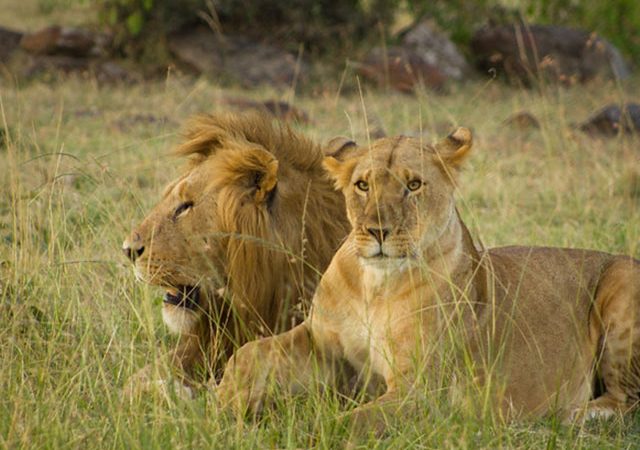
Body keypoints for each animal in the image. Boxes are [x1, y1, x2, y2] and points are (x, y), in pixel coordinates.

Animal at [215, 127, 640, 434]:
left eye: (414, 185)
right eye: (362, 185)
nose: (378, 231)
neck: (376, 287)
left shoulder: (422, 390)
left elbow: (353, 421)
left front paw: (301, 430)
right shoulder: (321, 342)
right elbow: (250, 352)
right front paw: (222, 401)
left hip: (622, 284)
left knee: (626, 401)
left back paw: (570, 414)